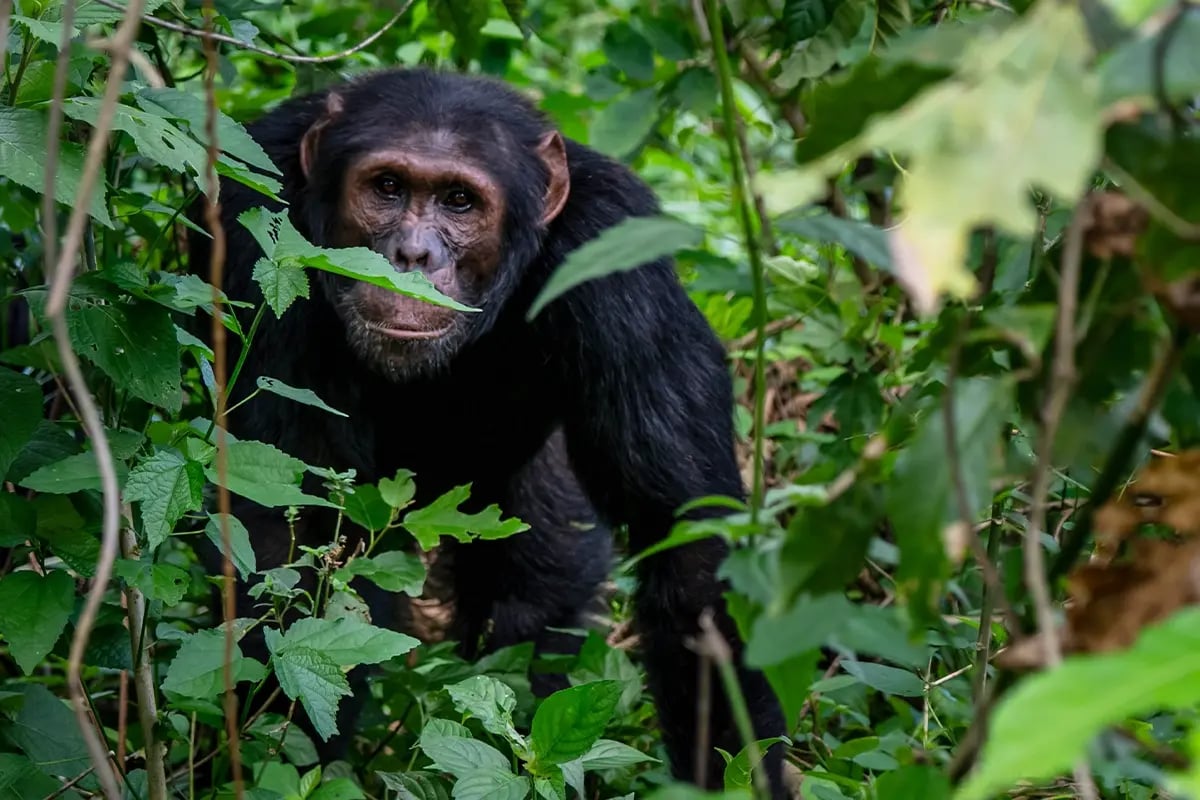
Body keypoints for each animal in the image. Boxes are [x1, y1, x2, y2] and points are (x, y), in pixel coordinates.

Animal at [187, 68, 787, 796]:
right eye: (387, 187)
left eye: (459, 201)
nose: (412, 253)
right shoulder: (254, 221)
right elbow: (290, 525)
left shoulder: (619, 258)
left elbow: (687, 542)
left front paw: (740, 774)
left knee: (535, 598)